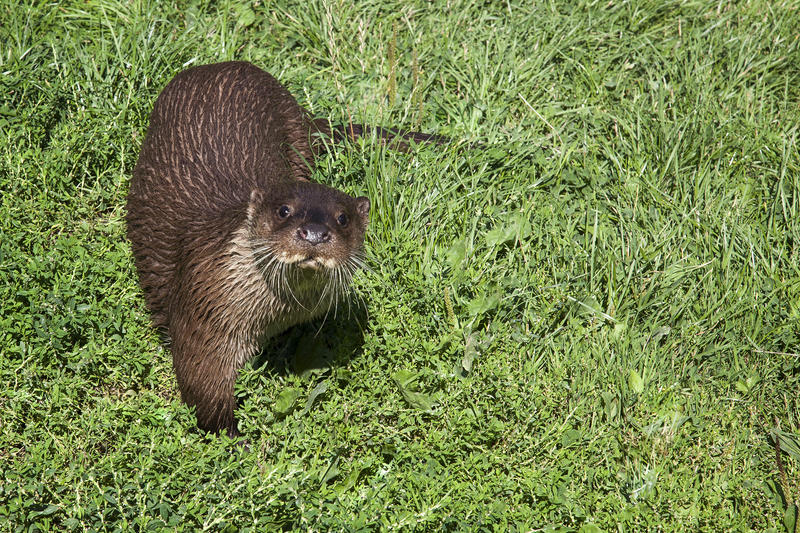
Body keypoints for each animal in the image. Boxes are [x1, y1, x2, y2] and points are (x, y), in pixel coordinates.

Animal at [126, 62, 438, 436]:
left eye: (343, 218)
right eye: (284, 211)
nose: (315, 233)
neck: (273, 317)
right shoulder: (204, 309)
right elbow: (203, 386)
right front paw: (237, 439)